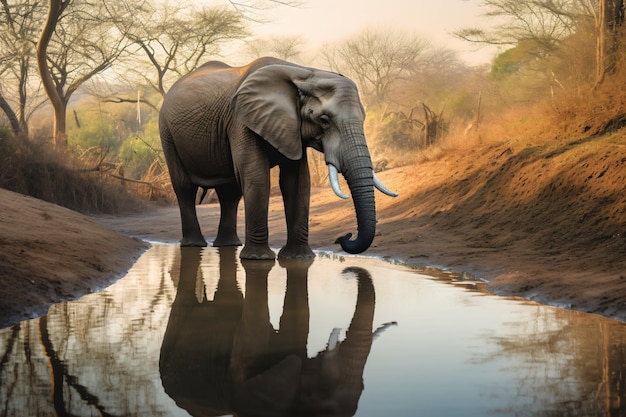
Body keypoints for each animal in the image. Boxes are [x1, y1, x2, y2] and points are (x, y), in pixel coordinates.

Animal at [158, 55, 398, 258]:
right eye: (324, 119)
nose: (343, 237)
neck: (304, 72)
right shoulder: (241, 120)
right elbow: (257, 176)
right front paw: (258, 259)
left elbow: (298, 182)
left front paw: (299, 258)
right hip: (167, 132)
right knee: (185, 188)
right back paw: (194, 245)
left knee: (230, 192)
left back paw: (228, 245)